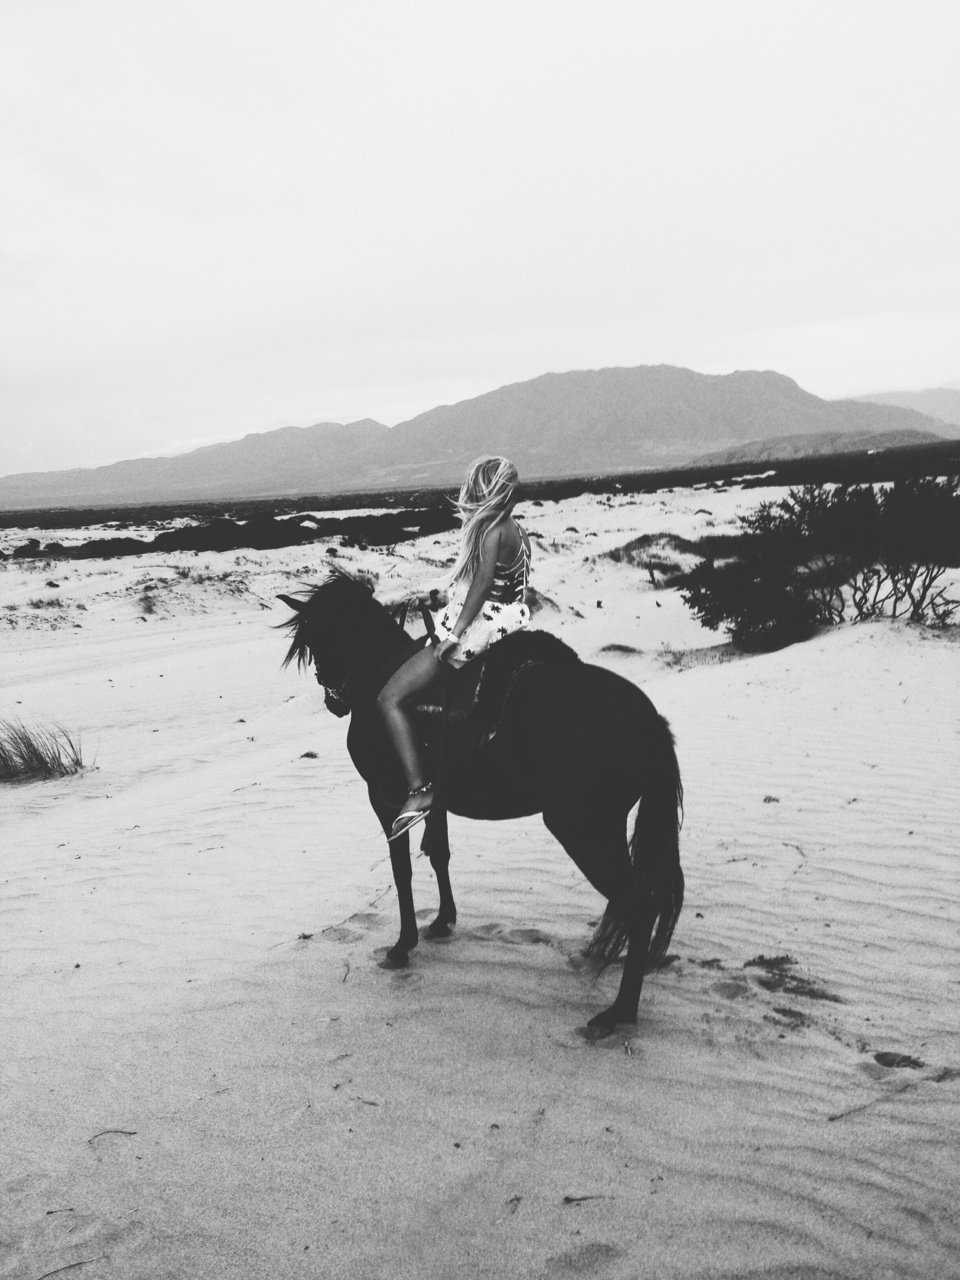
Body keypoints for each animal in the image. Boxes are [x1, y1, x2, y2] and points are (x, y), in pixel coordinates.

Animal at [277, 570, 686, 1029]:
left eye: (315, 643)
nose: (333, 700)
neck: (378, 673)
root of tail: (647, 719)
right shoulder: (432, 799)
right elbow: (439, 854)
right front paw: (442, 921)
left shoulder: (385, 801)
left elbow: (402, 871)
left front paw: (403, 944)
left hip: (583, 829)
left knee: (639, 906)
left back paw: (619, 1012)